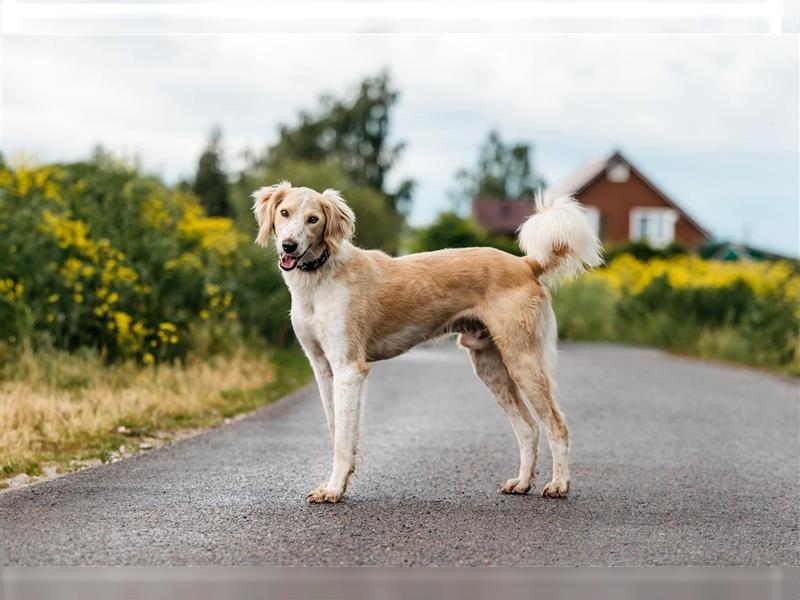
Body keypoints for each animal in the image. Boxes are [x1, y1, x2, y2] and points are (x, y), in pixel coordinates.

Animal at [252, 183, 600, 502]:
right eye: (284, 213)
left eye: (313, 219)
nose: (289, 246)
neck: (319, 279)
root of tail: (525, 264)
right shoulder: (323, 369)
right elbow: (337, 431)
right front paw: (337, 483)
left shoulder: (348, 368)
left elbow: (344, 440)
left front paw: (335, 488)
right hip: (490, 365)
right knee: (528, 428)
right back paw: (522, 483)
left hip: (522, 359)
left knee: (556, 426)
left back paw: (559, 485)